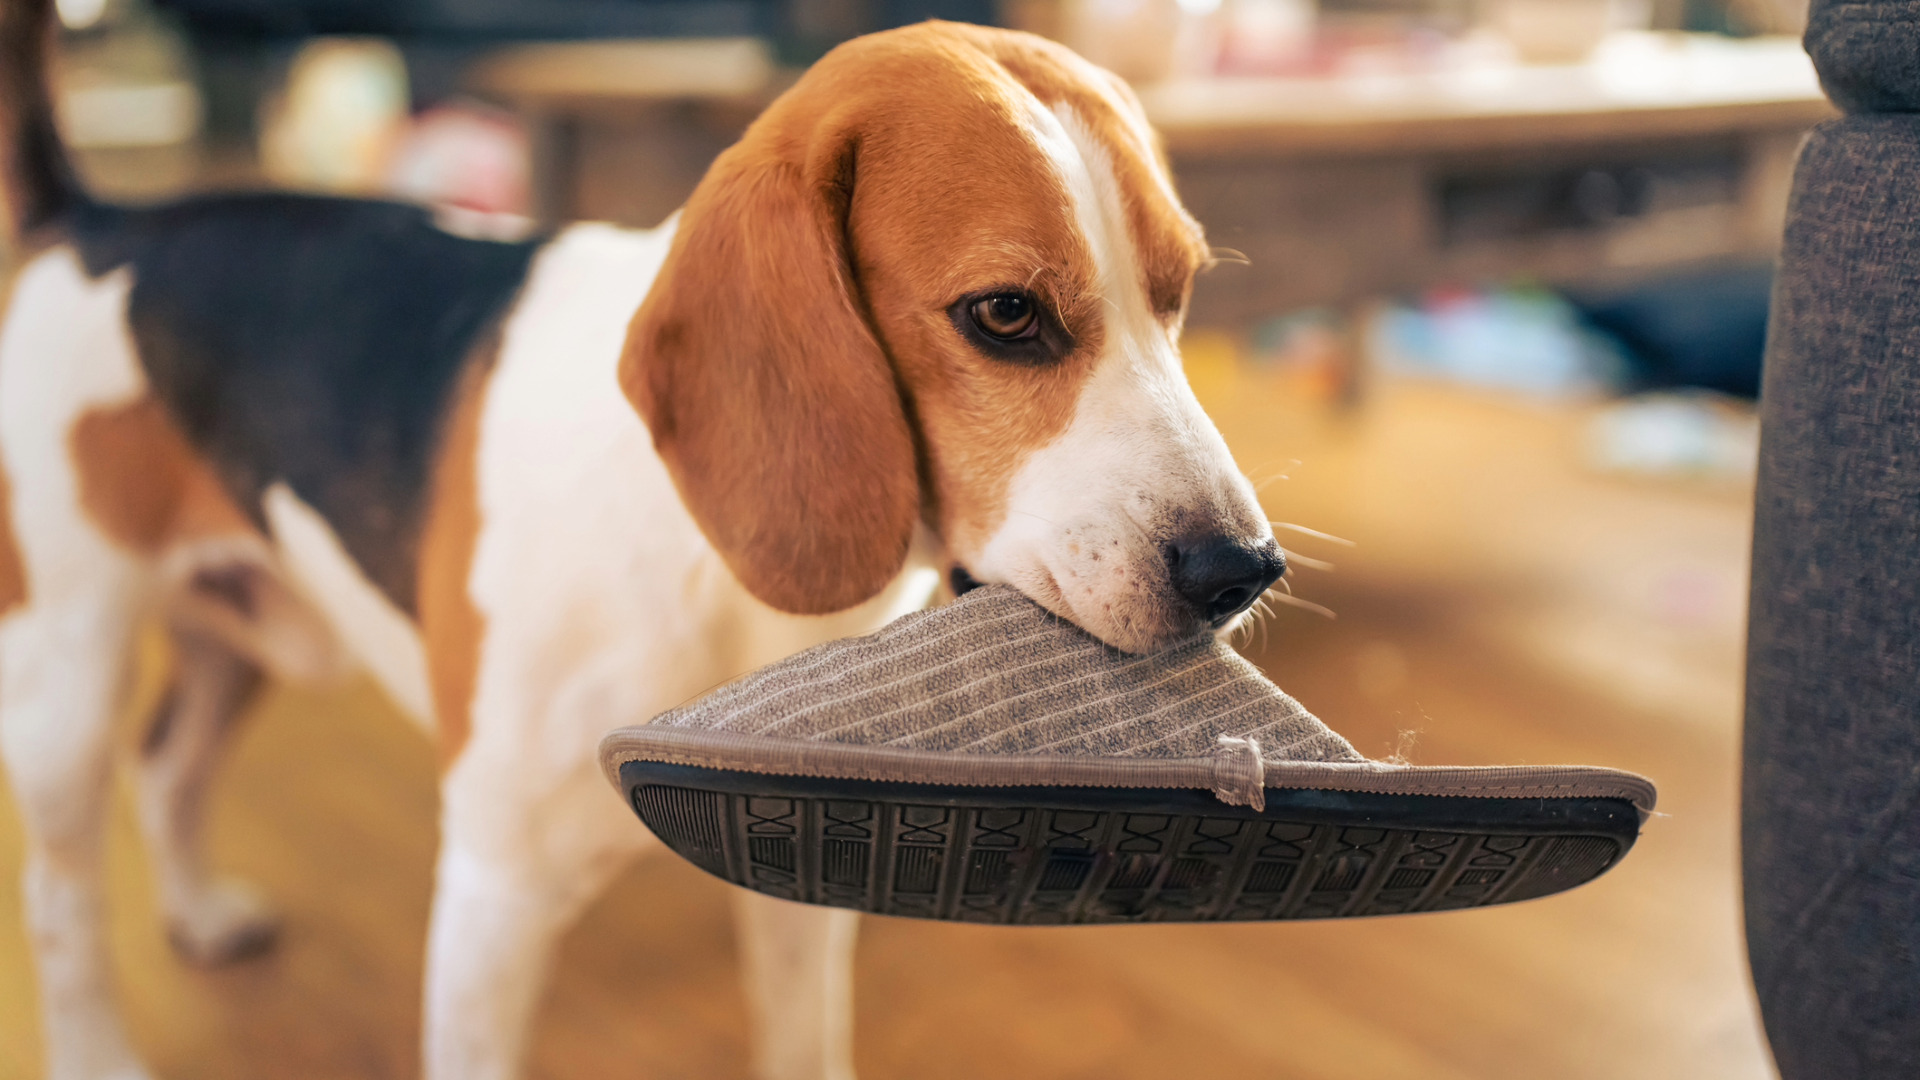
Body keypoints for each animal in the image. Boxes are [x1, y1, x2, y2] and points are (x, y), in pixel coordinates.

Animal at [0, 8, 1290, 1076]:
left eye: (1179, 295)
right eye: (1006, 314)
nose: (1242, 571)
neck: (711, 562)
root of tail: (95, 220)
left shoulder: (799, 876)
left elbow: (803, 1046)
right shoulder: (493, 899)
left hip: (246, 625)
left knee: (169, 767)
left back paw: (197, 915)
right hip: (65, 685)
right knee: (64, 901)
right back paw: (98, 1051)